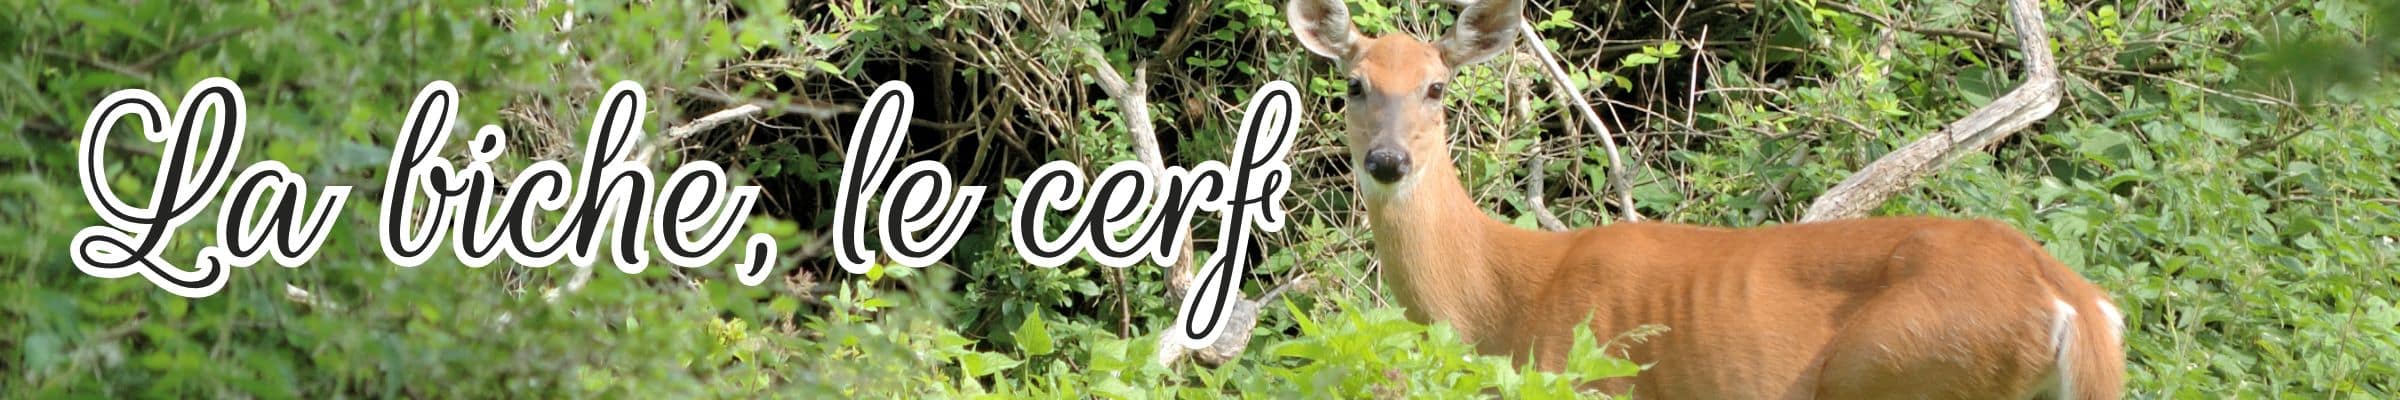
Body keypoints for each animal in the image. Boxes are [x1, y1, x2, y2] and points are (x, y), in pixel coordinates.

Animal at [1282, 0, 2126, 398]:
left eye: (1436, 87)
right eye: (1354, 84)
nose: (1388, 160)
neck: (1502, 299)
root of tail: (2073, 302)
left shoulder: (1588, 380)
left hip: (1899, 369)